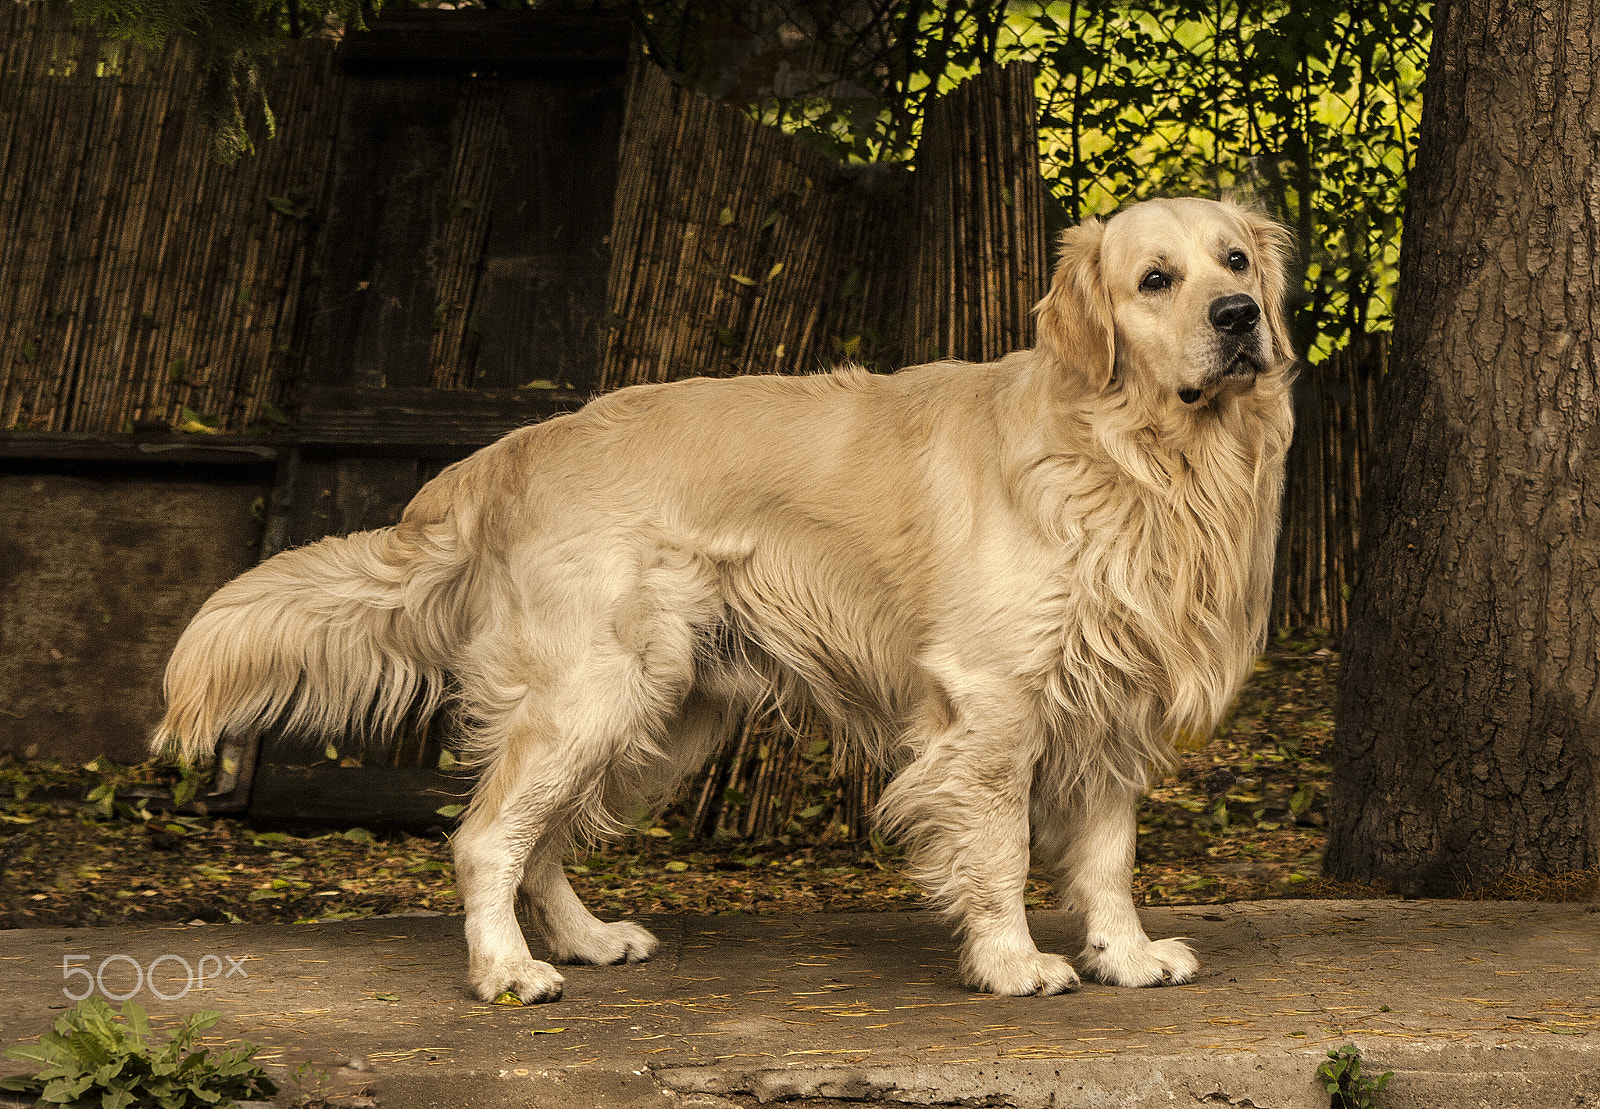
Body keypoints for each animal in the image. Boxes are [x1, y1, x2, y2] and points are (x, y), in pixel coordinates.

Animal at [156, 194, 1292, 998]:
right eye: (1155, 279)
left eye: (1234, 260)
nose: (1240, 318)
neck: (1140, 459)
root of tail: (511, 450)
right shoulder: (991, 700)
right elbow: (1002, 847)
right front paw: (1013, 962)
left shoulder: (1115, 698)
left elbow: (1107, 854)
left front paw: (1126, 954)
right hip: (597, 689)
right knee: (487, 836)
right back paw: (508, 970)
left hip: (661, 712)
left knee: (542, 838)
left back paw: (585, 938)